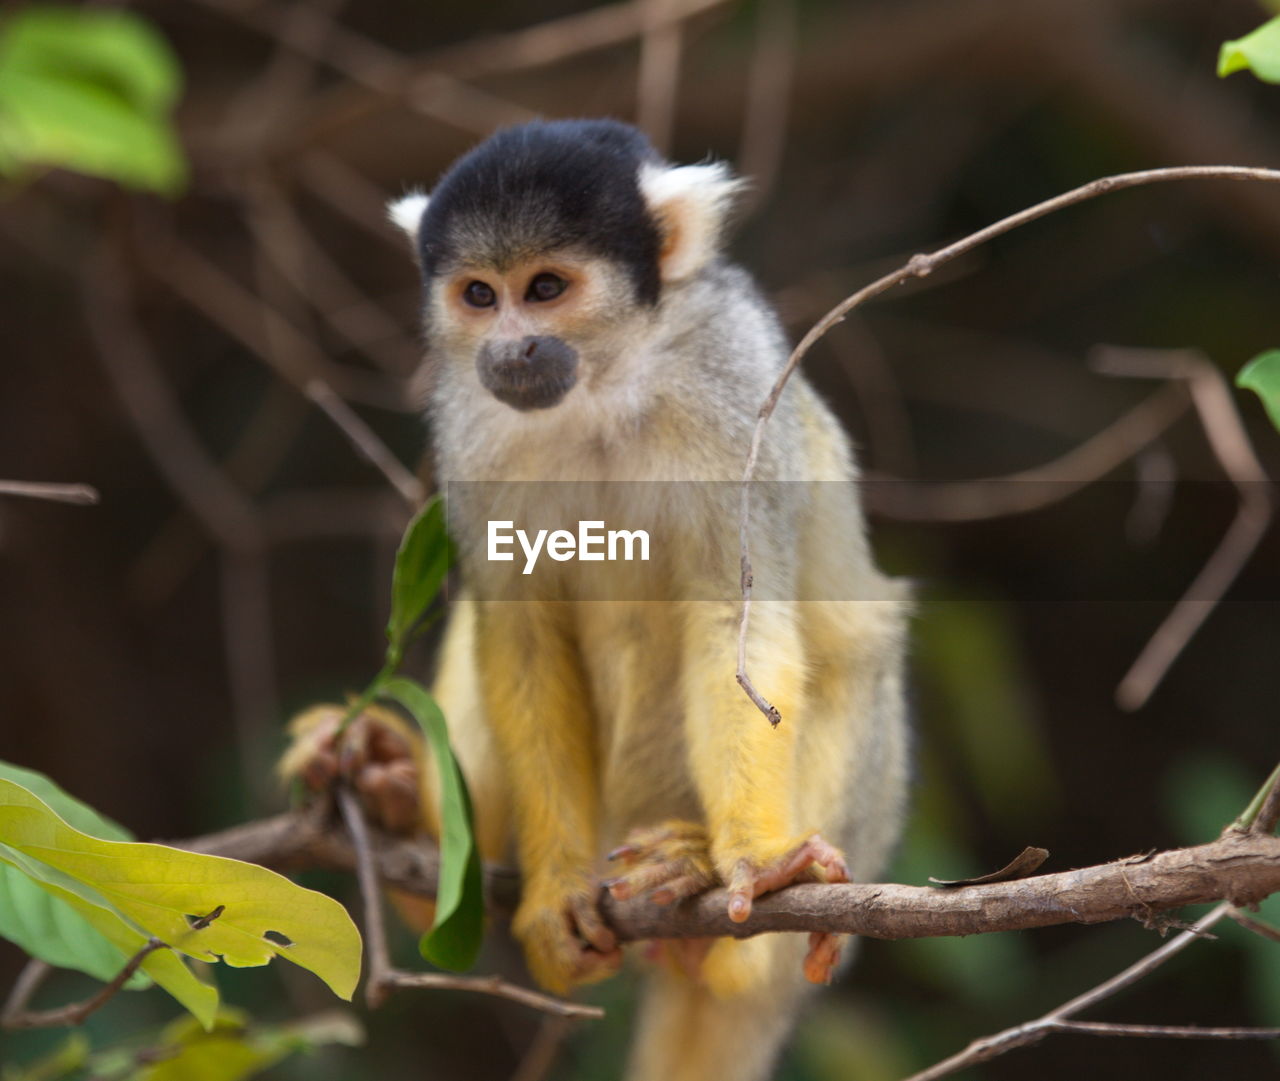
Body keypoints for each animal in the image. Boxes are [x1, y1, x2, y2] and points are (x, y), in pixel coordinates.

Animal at [291, 118, 911, 1079]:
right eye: (480, 295)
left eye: (546, 288)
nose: (510, 348)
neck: (606, 383)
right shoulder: (466, 421)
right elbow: (521, 636)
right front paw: (554, 896)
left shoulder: (736, 385)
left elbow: (737, 626)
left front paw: (755, 861)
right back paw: (404, 816)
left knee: (852, 664)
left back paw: (719, 915)